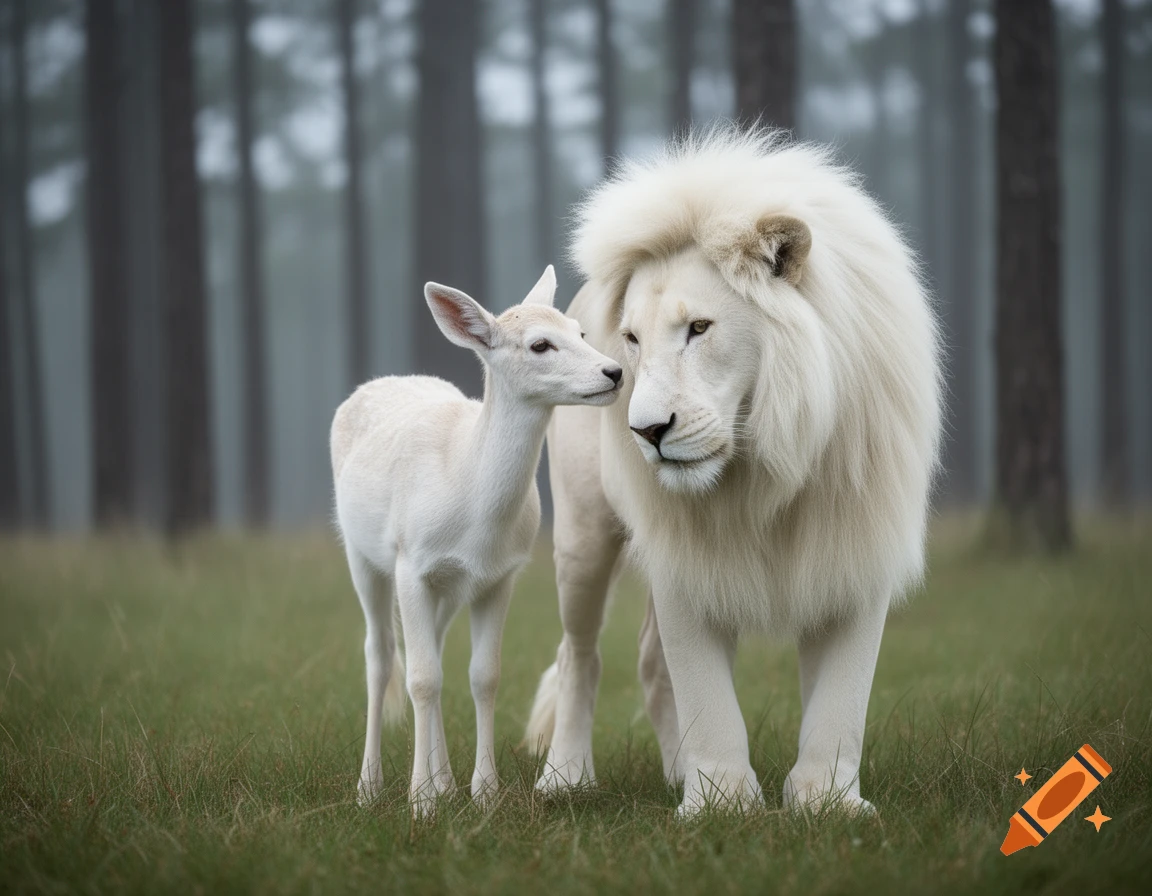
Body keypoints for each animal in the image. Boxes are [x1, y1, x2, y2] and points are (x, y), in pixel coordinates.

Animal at [524, 127, 942, 816]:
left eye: (699, 327)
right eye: (631, 340)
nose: (646, 431)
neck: (768, 463)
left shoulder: (857, 540)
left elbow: (843, 697)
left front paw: (827, 802)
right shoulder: (681, 551)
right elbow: (706, 692)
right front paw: (721, 804)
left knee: (649, 664)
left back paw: (674, 771)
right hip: (582, 533)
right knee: (578, 653)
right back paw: (565, 778)